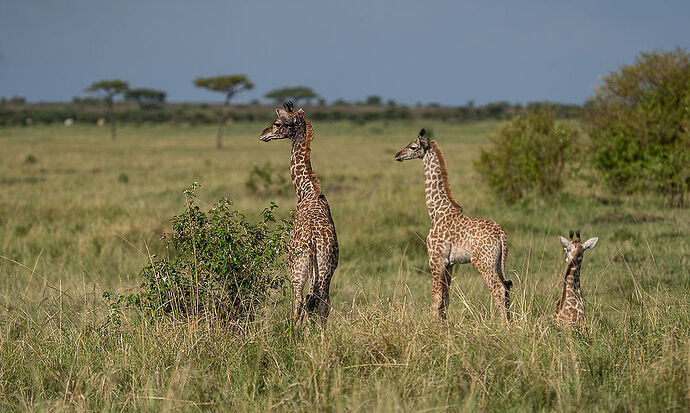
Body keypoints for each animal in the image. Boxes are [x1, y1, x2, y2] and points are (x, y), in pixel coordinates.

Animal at [256, 101, 338, 324]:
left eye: (277, 123)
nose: (263, 134)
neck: (306, 191)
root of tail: (314, 242)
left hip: (298, 269)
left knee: (301, 300)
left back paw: (294, 330)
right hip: (324, 269)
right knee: (321, 302)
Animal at [392, 128, 510, 318]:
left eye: (413, 147)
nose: (397, 155)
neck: (436, 211)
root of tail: (501, 234)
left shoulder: (435, 258)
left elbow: (436, 297)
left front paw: (433, 324)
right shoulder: (449, 263)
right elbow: (445, 298)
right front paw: (443, 323)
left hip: (483, 261)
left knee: (498, 289)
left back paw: (503, 324)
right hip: (498, 262)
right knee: (507, 287)